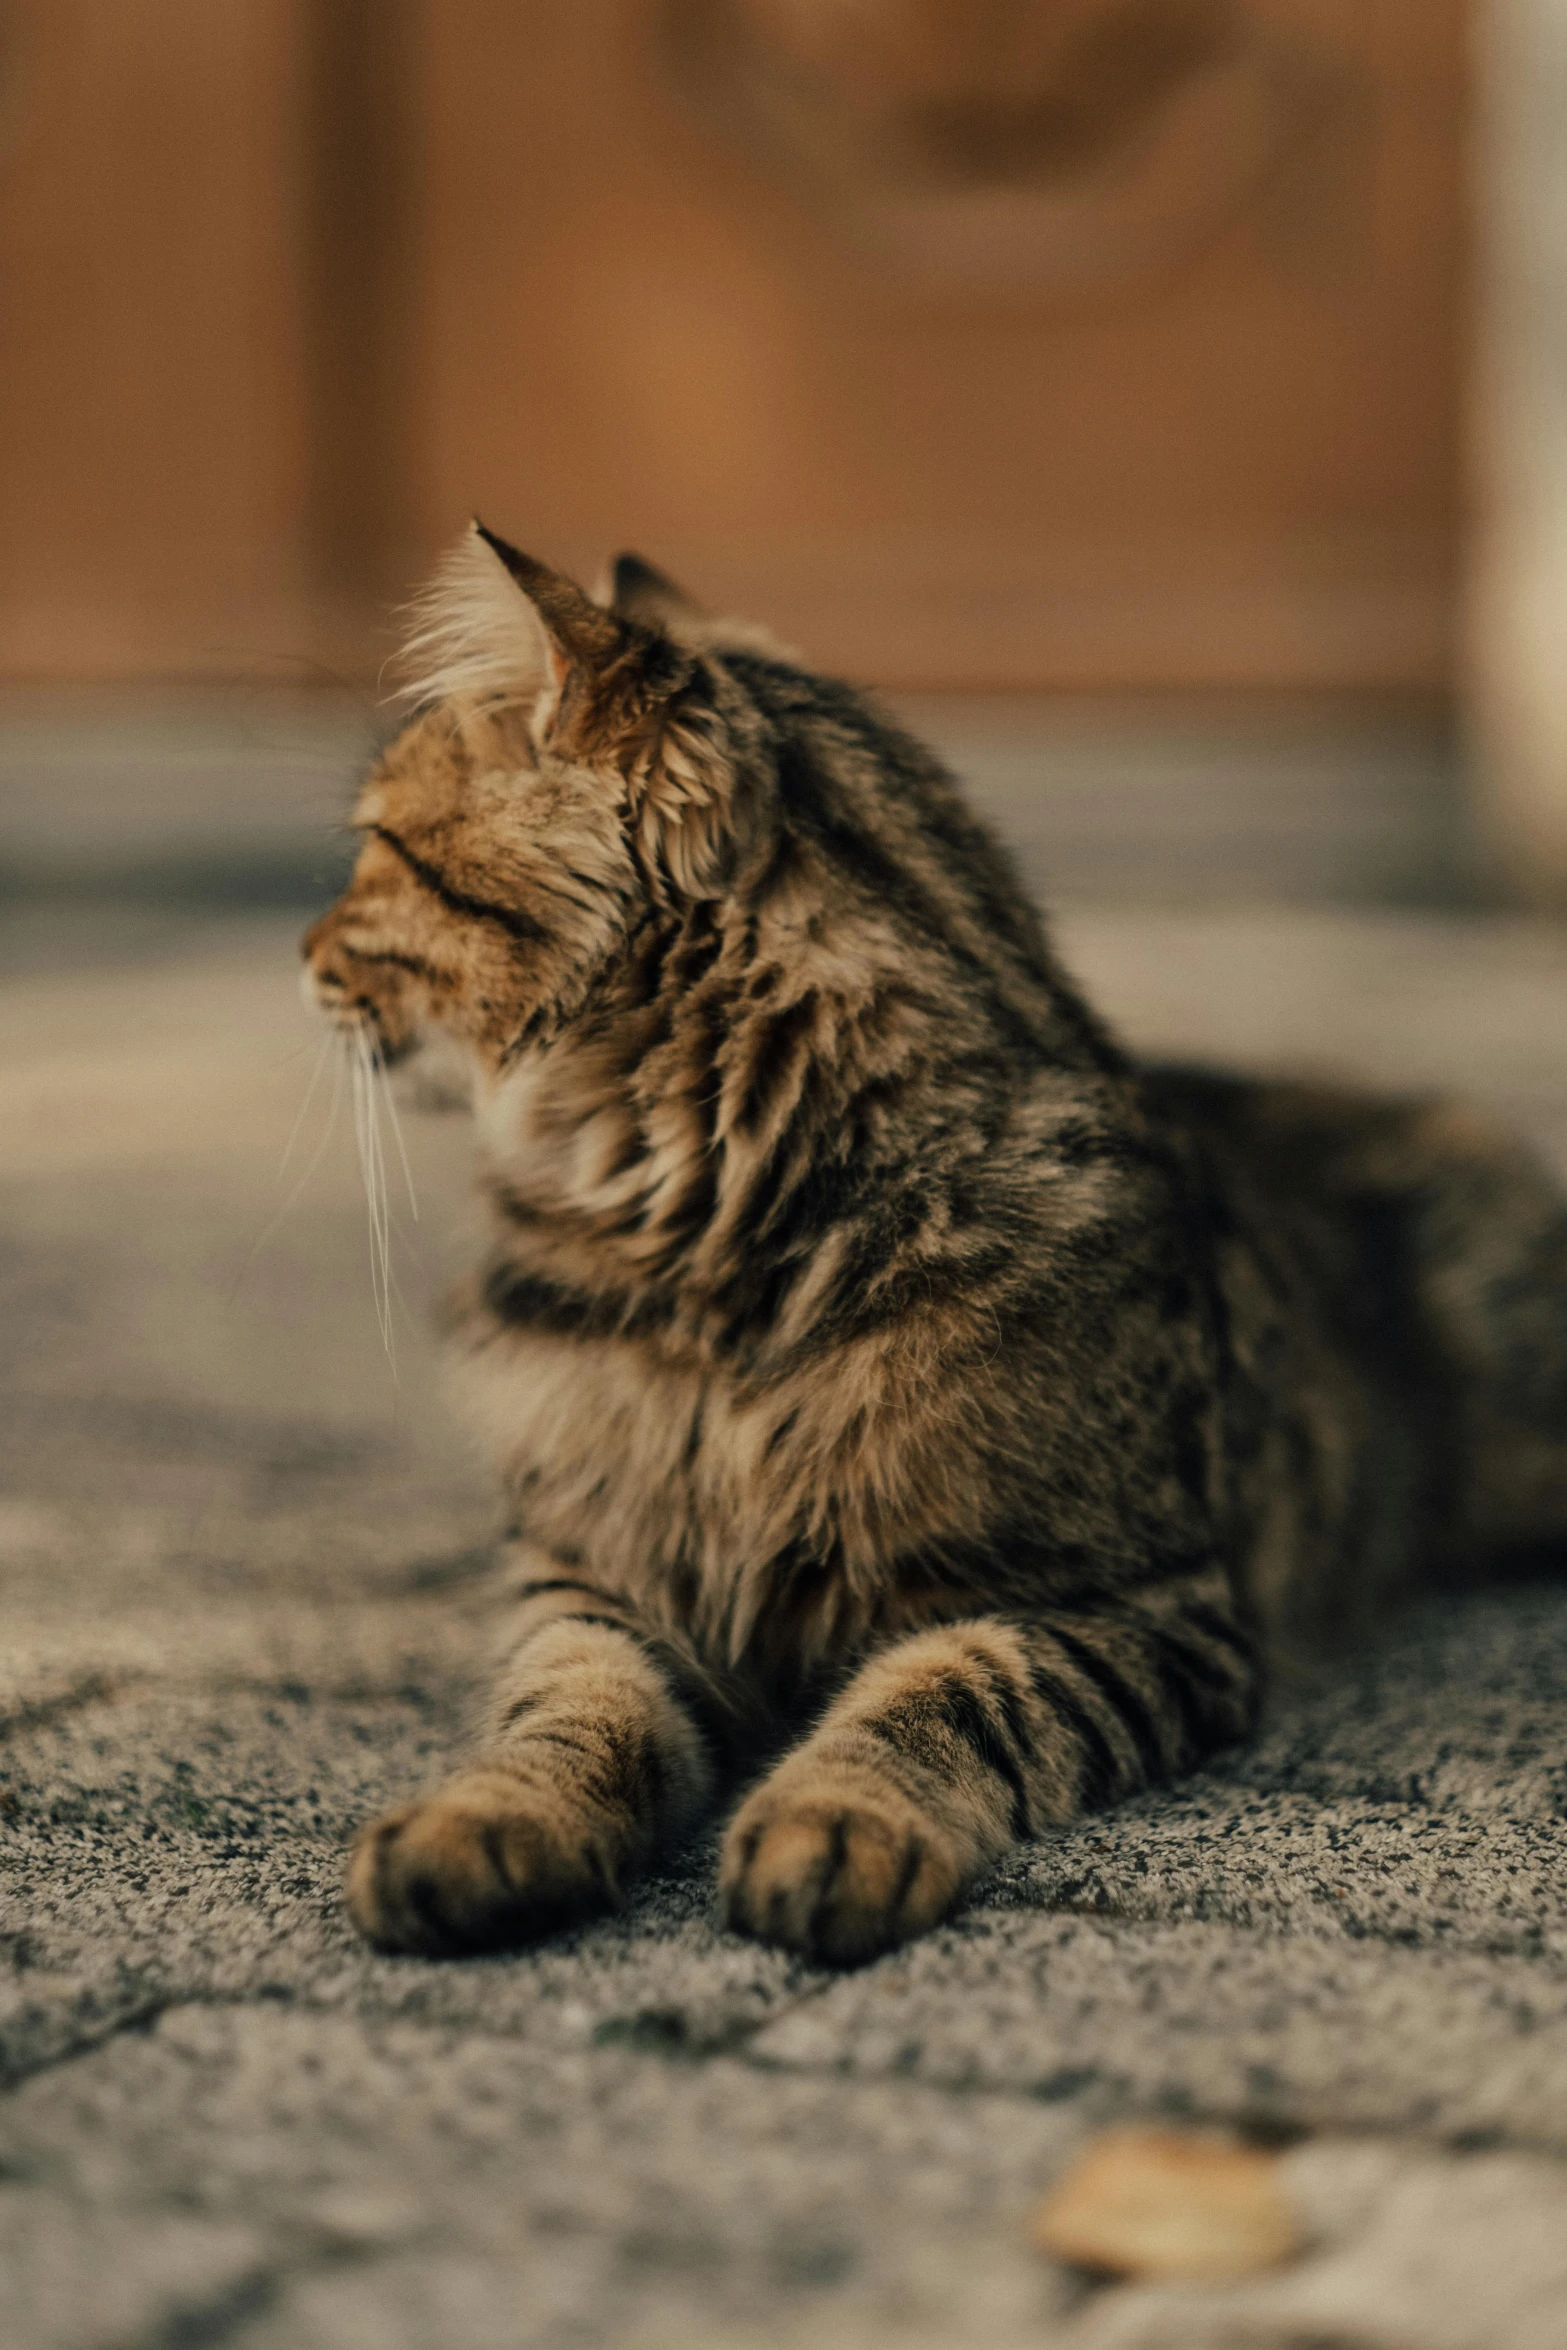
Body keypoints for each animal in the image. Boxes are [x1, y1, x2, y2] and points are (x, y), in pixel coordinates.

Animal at [300, 528, 1567, 1964]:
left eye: (376, 848)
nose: (301, 953)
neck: (713, 1273)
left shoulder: (1128, 1602)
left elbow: (943, 1694)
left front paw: (837, 1824)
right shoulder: (592, 1577)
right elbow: (567, 1712)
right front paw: (483, 1825)